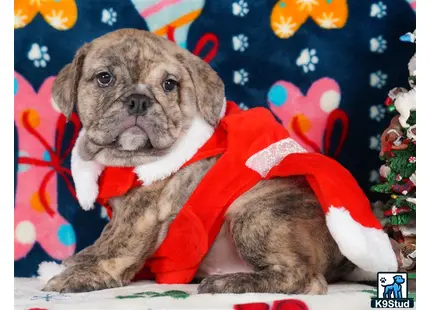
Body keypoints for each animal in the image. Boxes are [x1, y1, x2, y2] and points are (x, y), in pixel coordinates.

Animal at [42, 30, 358, 294]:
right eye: (104, 78)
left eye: (169, 85)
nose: (139, 100)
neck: (127, 160)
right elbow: (105, 237)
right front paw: (81, 259)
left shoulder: (142, 211)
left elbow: (117, 247)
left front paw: (84, 275)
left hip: (256, 216)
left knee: (305, 278)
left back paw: (229, 283)